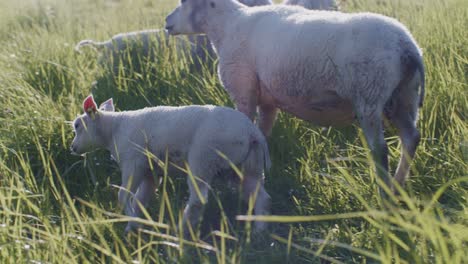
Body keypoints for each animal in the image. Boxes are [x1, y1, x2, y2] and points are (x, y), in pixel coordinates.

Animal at [71, 96, 272, 236]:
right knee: (260, 196)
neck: (114, 129)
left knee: (198, 199)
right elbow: (140, 199)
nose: (72, 148)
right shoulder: (150, 172)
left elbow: (124, 195)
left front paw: (133, 222)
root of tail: (253, 133)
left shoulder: (133, 162)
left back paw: (182, 231)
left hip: (203, 158)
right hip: (244, 167)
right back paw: (259, 230)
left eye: (78, 125)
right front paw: (134, 226)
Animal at [165, 0, 424, 195]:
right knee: (411, 139)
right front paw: (262, 172)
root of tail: (408, 48)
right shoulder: (267, 100)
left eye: (183, 1)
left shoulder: (243, 90)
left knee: (380, 150)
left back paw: (384, 195)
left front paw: (237, 181)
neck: (227, 25)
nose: (166, 23)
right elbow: (262, 134)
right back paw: (398, 186)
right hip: (405, 96)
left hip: (369, 95)